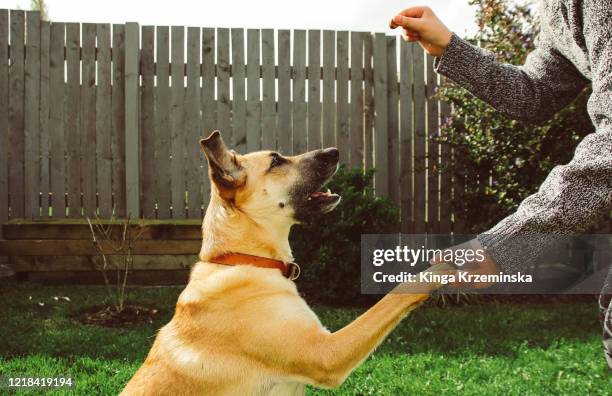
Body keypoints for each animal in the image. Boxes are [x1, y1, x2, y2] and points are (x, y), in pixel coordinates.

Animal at [122, 131, 452, 394]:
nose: (334, 151)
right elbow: (395, 295)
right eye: (277, 161)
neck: (248, 260)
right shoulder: (326, 353)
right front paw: (445, 266)